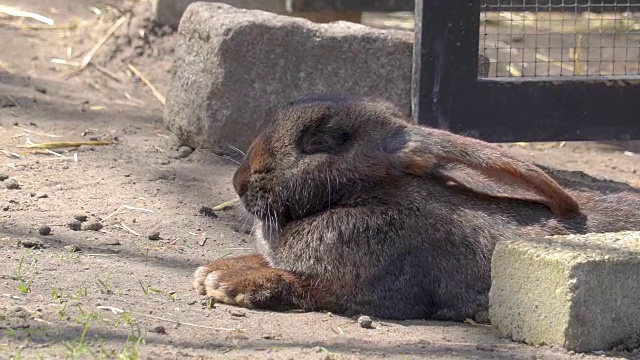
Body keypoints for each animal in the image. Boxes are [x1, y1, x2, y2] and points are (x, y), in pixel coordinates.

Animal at [191, 93, 640, 320]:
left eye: (324, 140)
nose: (238, 182)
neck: (366, 194)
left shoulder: (366, 291)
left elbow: (298, 284)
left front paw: (225, 282)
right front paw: (212, 271)